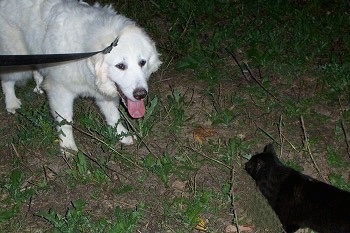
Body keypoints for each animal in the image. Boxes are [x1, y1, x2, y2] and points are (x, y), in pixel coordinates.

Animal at [0, 0, 161, 151]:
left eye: (142, 62)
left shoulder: (101, 91)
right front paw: (68, 147)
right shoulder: (60, 91)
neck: (86, 55)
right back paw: (12, 103)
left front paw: (122, 135)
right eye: (121, 66)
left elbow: (113, 115)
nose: (141, 95)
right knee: (7, 80)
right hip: (17, 59)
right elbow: (65, 122)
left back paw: (39, 85)